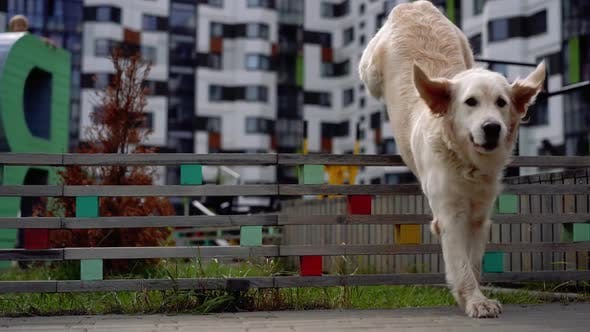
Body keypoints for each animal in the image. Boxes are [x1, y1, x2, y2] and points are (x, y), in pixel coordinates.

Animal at [364, 1, 548, 320]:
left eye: (501, 102)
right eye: (470, 102)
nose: (492, 128)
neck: (468, 164)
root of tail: (412, 5)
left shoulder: (479, 216)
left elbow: (472, 261)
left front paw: (472, 298)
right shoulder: (449, 215)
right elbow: (460, 262)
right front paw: (476, 302)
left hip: (466, 46)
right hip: (370, 69)